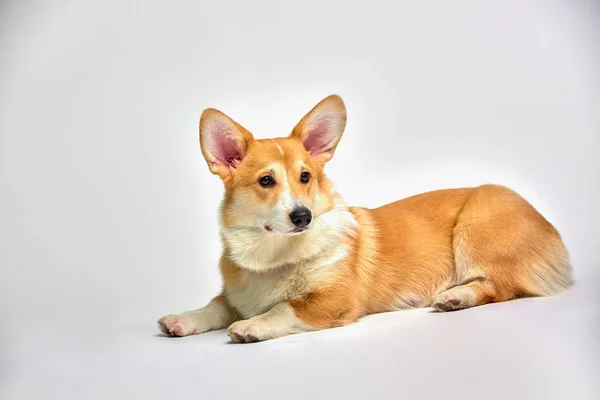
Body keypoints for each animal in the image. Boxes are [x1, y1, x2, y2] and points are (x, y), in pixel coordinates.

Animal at [157, 94, 576, 344]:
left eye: (305, 177)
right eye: (266, 181)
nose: (302, 216)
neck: (275, 254)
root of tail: (550, 226)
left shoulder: (333, 300)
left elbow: (283, 308)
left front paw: (251, 326)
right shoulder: (234, 295)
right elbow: (212, 306)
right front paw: (181, 319)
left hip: (477, 226)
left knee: (503, 286)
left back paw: (456, 296)